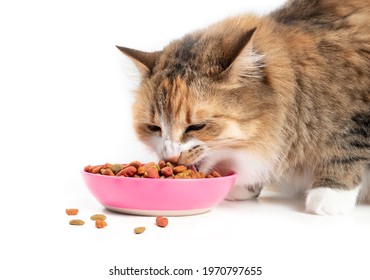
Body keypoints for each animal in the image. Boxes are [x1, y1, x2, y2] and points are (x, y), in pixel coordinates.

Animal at [118, 0, 370, 215]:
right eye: (154, 128)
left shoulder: (357, 118)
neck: (300, 85)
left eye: (197, 126)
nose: (169, 157)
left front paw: (329, 197)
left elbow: (346, 150)